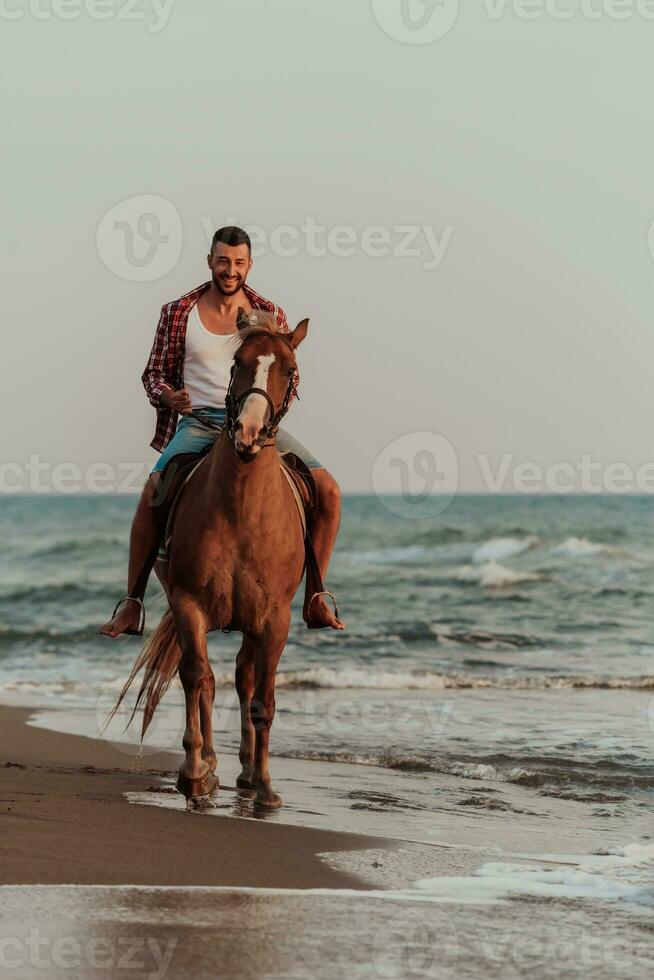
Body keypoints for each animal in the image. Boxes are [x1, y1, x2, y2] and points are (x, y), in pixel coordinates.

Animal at [116, 310, 320, 808]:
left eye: (290, 370)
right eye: (237, 363)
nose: (248, 433)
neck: (242, 509)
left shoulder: (274, 619)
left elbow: (263, 697)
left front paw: (265, 784)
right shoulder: (189, 604)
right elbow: (197, 678)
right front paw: (195, 770)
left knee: (245, 679)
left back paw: (246, 771)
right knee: (208, 682)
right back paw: (210, 765)